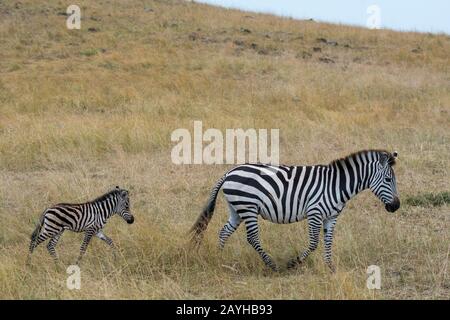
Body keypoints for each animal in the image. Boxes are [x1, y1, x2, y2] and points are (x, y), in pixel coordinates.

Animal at [190, 149, 400, 272]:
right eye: (388, 180)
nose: (396, 206)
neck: (337, 185)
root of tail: (229, 172)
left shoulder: (331, 217)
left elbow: (329, 242)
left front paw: (331, 267)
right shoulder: (315, 213)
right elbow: (314, 243)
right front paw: (294, 263)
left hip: (237, 208)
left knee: (224, 232)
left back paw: (220, 259)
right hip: (248, 207)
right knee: (252, 237)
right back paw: (272, 265)